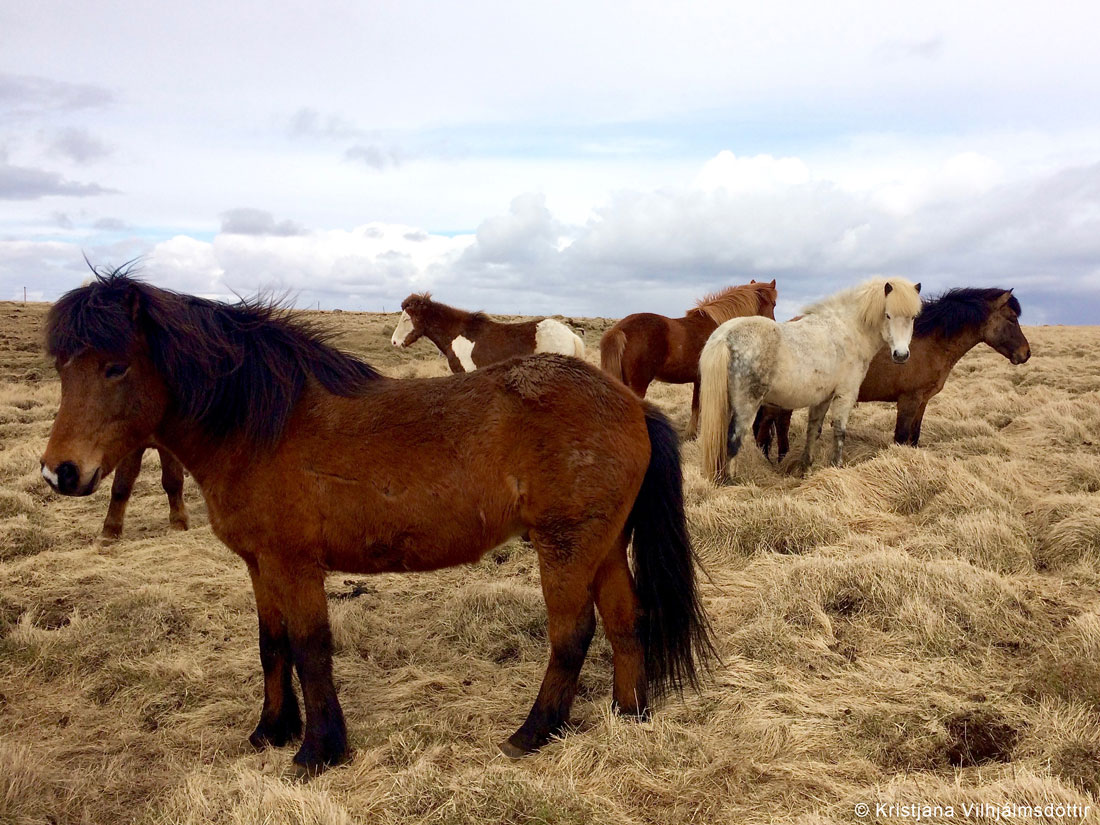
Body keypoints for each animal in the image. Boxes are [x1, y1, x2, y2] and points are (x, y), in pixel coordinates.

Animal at [599, 281, 777, 437]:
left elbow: (695, 405)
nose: (774, 324)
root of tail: (619, 329)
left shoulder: (698, 379)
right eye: (774, 303)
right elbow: (700, 406)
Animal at [697, 277, 923, 482]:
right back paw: (731, 481)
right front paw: (836, 466)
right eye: (888, 315)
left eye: (912, 317)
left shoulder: (822, 399)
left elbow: (813, 431)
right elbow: (839, 432)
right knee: (733, 441)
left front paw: (805, 469)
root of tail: (724, 336)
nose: (901, 355)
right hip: (746, 406)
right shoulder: (845, 394)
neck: (848, 330)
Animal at [755, 288, 1029, 460]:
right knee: (769, 422)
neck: (930, 342)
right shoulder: (908, 400)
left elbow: (914, 437)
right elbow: (900, 436)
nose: (1025, 353)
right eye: (1011, 318)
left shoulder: (921, 401)